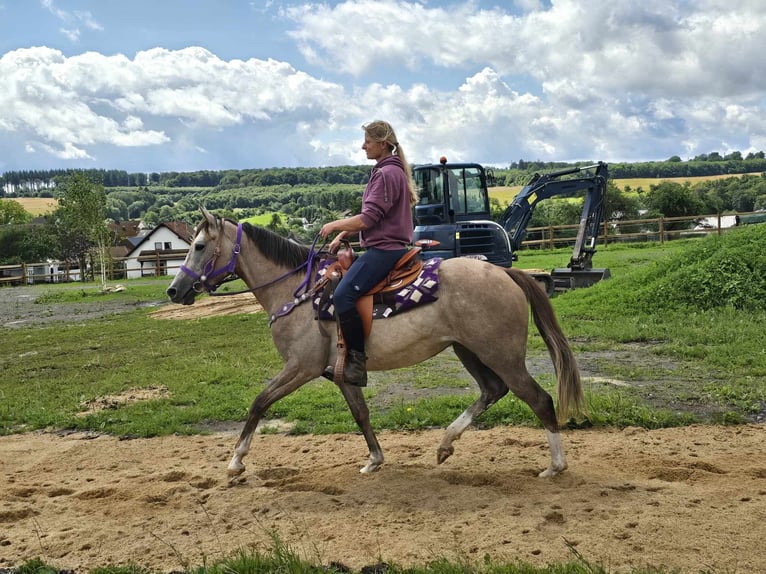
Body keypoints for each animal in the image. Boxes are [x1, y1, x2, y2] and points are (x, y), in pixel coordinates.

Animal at [168, 209, 584, 480]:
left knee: (539, 399)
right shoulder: (340, 373)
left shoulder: (300, 367)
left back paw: (555, 466)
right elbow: (361, 414)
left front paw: (236, 461)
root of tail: (505, 273)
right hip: (468, 350)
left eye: (200, 245)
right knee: (492, 391)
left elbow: (259, 402)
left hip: (502, 355)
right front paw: (375, 459)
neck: (298, 292)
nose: (175, 290)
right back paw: (445, 445)